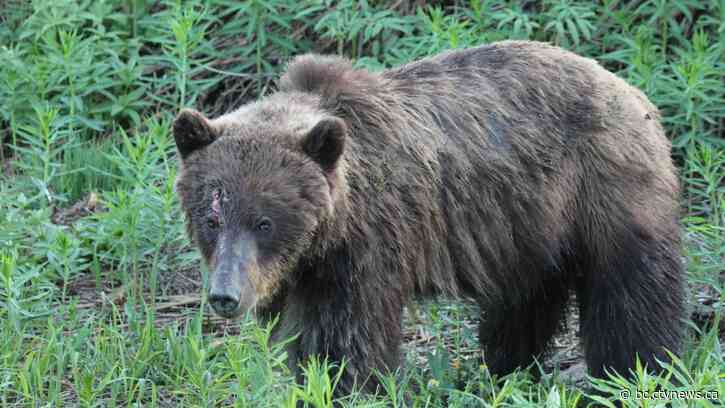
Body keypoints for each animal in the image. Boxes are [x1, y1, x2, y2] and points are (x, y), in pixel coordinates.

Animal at [173, 41, 685, 393]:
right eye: (212, 217)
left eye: (264, 221)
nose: (224, 295)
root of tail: (628, 88)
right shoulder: (307, 269)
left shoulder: (369, 245)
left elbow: (348, 336)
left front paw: (347, 385)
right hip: (527, 226)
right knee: (523, 301)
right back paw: (506, 367)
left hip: (602, 187)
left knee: (629, 290)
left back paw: (636, 372)